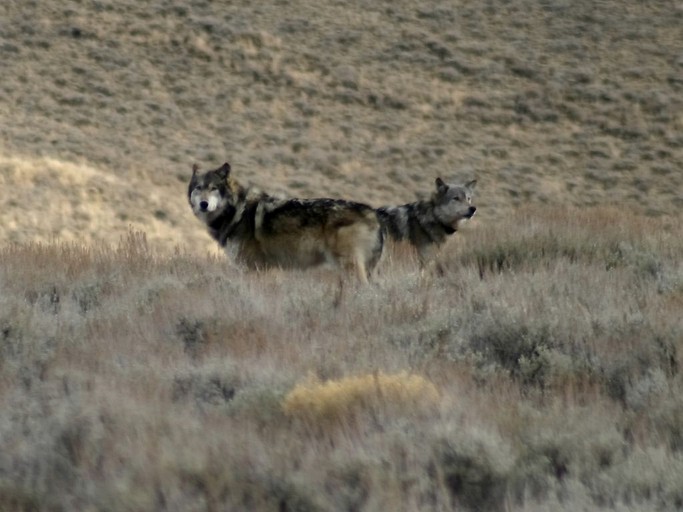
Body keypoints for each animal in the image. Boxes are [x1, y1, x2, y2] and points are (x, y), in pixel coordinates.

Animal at [187, 163, 384, 284]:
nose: (203, 204)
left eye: (214, 188)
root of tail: (372, 212)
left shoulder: (253, 267)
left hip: (349, 266)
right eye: (198, 188)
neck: (236, 211)